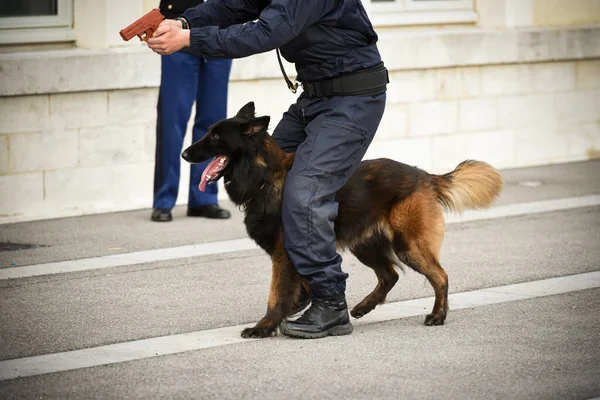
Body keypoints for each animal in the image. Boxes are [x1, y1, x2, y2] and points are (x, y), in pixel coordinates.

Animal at [180, 101, 504, 340]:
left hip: (408, 245)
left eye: (216, 136)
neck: (263, 176)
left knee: (440, 276)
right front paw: (301, 305)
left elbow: (276, 293)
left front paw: (265, 326)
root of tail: (423, 175)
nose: (183, 153)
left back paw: (438, 315)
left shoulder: (284, 253)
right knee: (390, 275)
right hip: (367, 246)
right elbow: (303, 282)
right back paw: (362, 307)